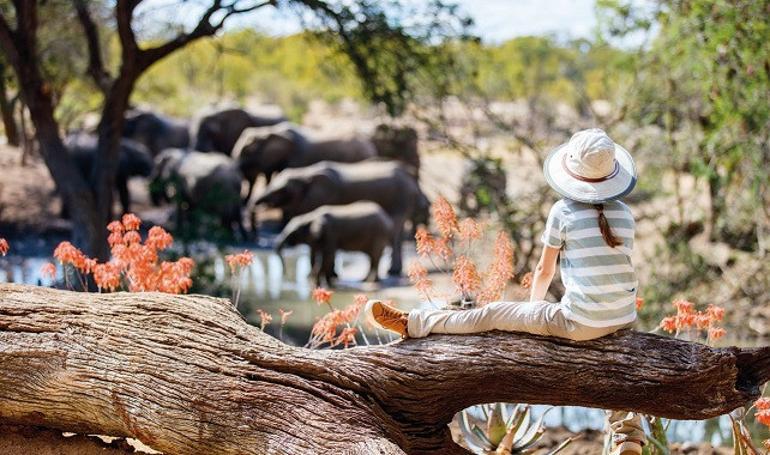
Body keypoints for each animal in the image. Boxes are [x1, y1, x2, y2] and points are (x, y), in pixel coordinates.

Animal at [252, 160, 426, 276]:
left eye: (282, 191)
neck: (305, 174)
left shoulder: (327, 198)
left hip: (400, 199)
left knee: (395, 229)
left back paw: (392, 272)